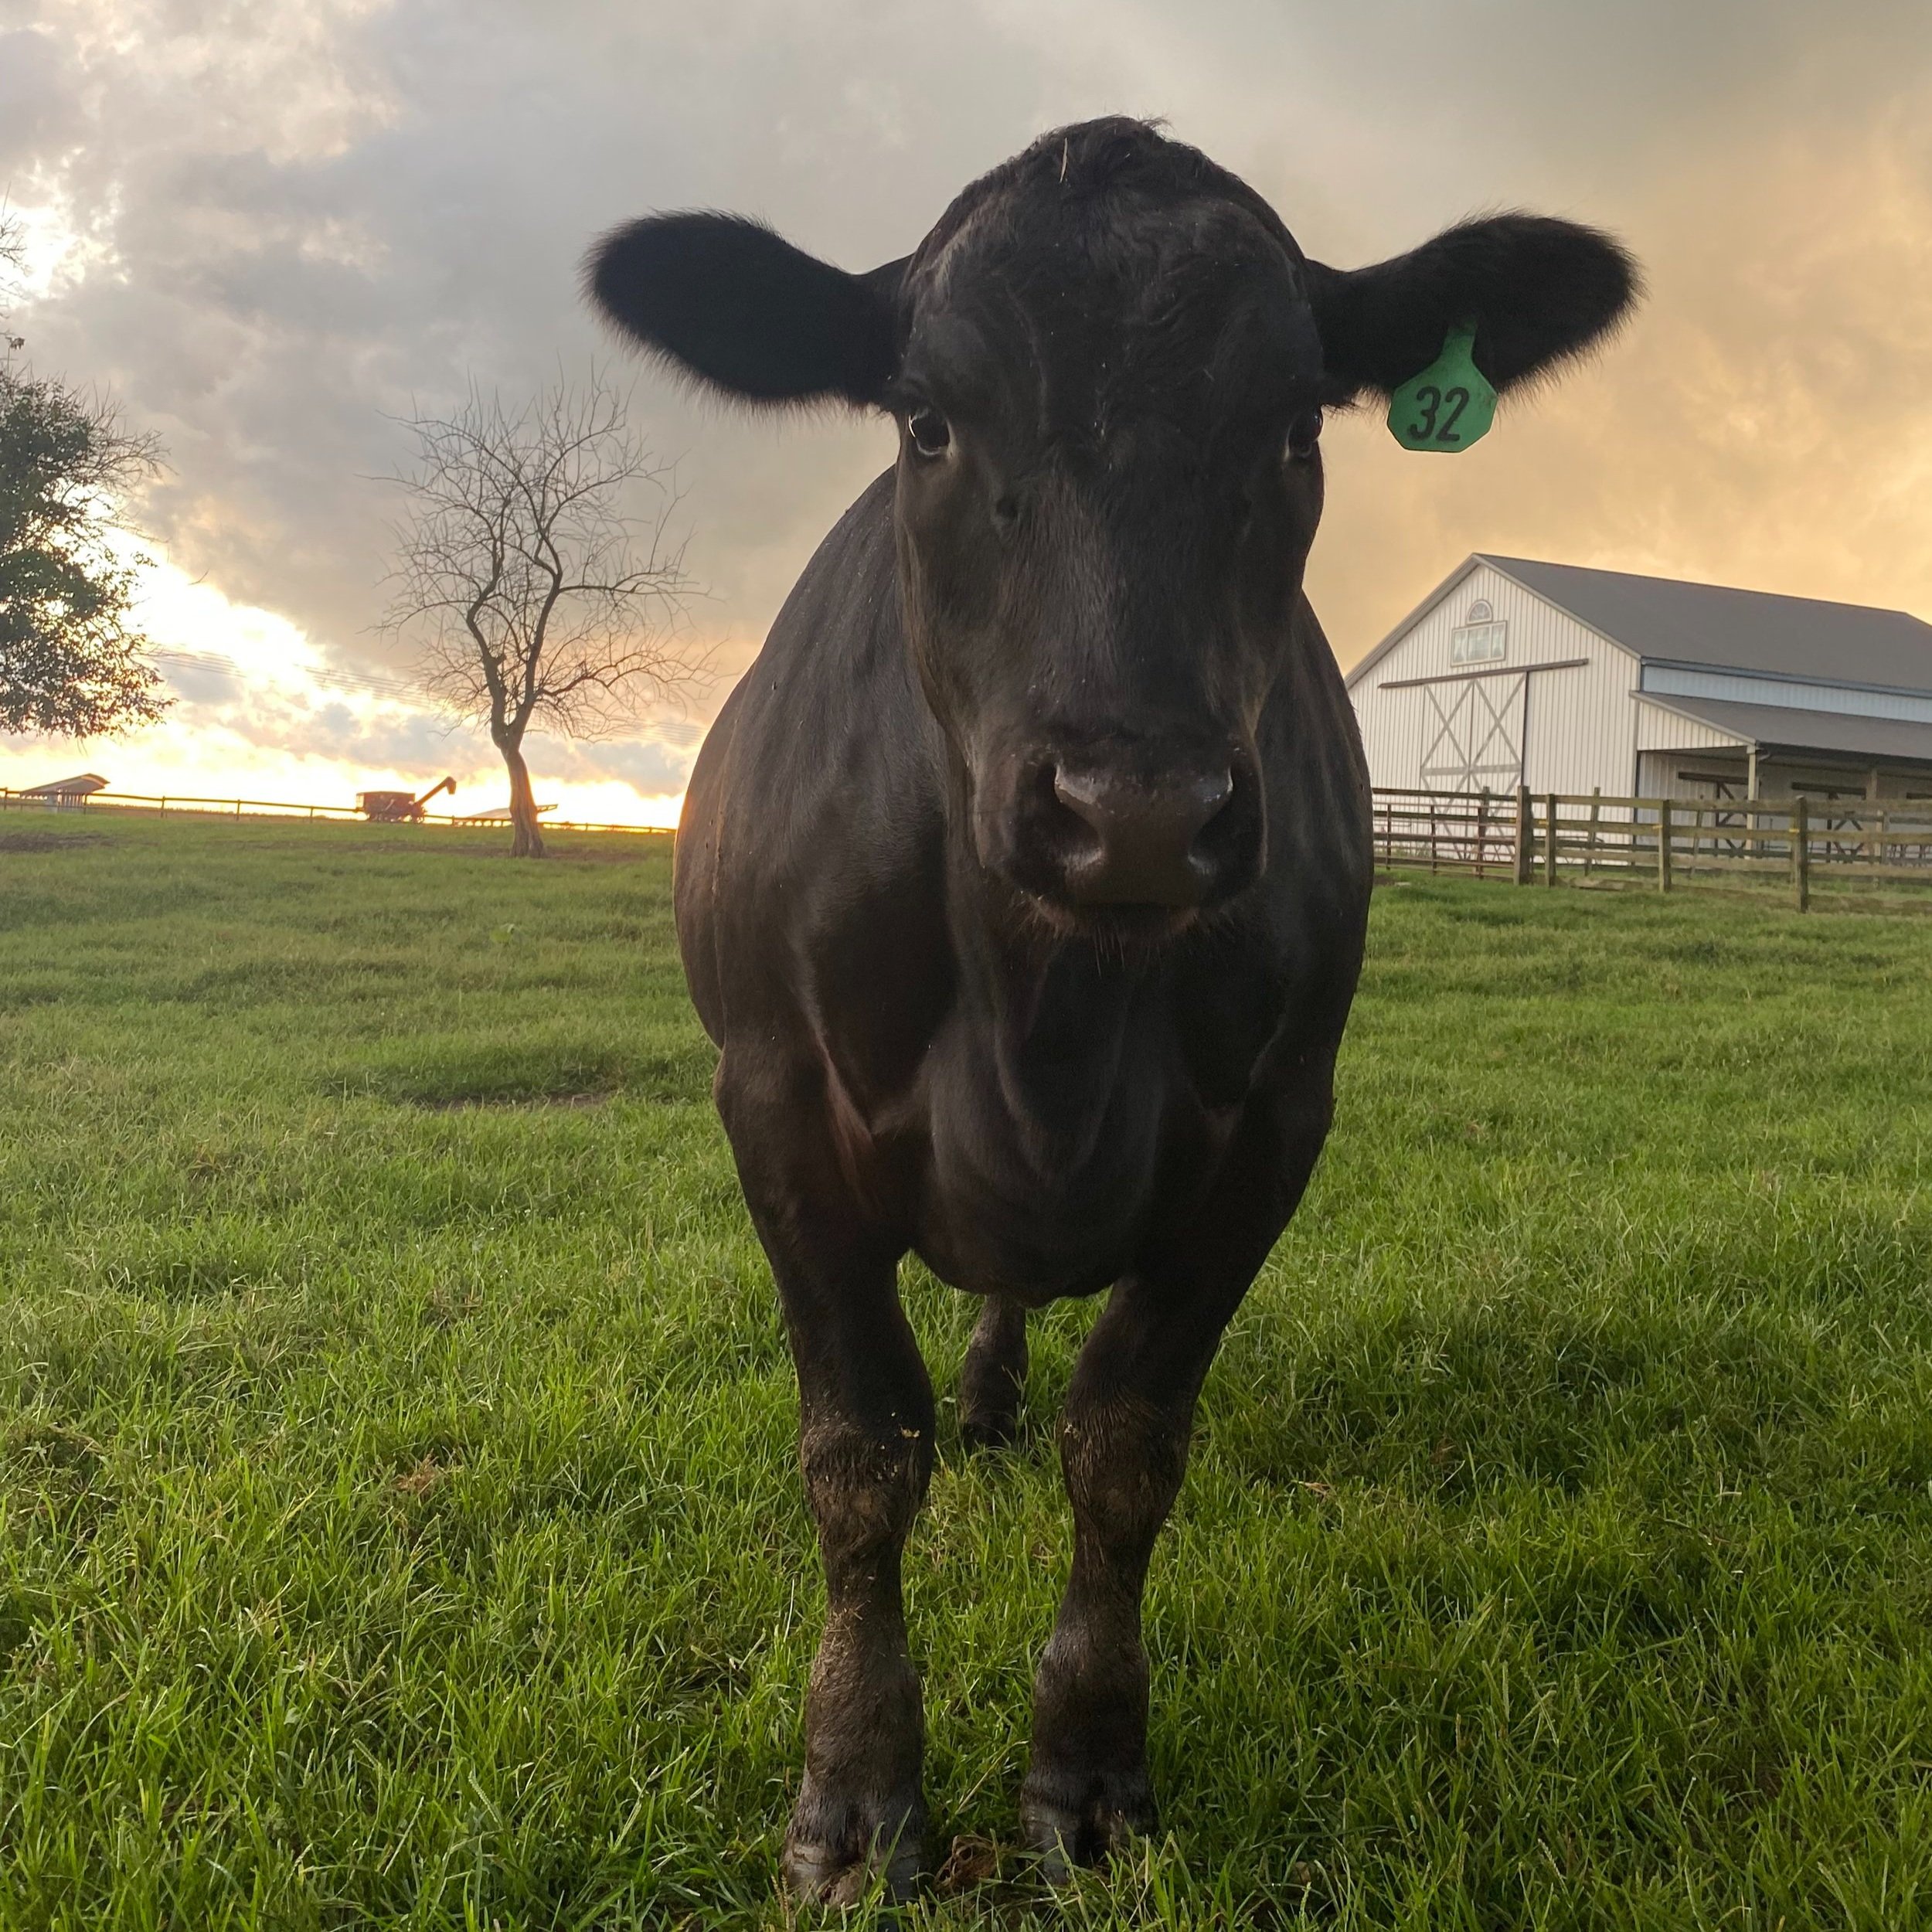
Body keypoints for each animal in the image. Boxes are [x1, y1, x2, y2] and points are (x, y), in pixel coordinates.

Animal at [587, 118, 1635, 1902]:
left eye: (1294, 424)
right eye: (926, 418)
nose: (1132, 809)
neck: (1045, 1024)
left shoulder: (1276, 1117)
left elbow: (1129, 1441)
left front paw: (1084, 1771)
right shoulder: (772, 1098)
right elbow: (859, 1453)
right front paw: (853, 1793)